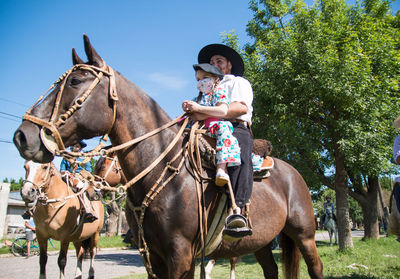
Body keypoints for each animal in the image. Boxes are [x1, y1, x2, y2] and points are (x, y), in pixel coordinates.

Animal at [14, 35, 324, 279]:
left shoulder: (181, 254)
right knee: (271, 270)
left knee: (315, 267)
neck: (165, 171)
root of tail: (293, 174)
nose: (22, 136)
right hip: (261, 242)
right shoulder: (154, 255)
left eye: (76, 80)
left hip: (304, 234)